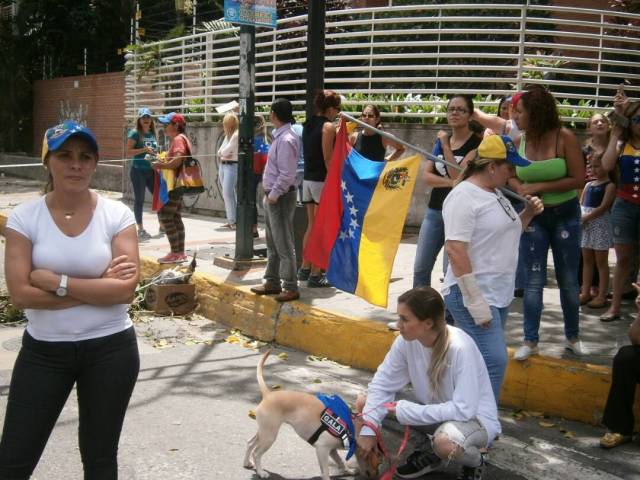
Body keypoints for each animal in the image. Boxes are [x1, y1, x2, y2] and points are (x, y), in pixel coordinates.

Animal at [242, 350, 378, 478]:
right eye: (374, 459)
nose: (374, 474)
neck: (350, 427)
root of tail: (268, 394)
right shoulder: (322, 449)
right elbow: (326, 471)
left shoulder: (332, 450)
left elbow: (340, 461)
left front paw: (348, 471)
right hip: (269, 436)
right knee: (256, 453)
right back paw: (260, 472)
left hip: (265, 431)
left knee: (250, 443)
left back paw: (247, 462)